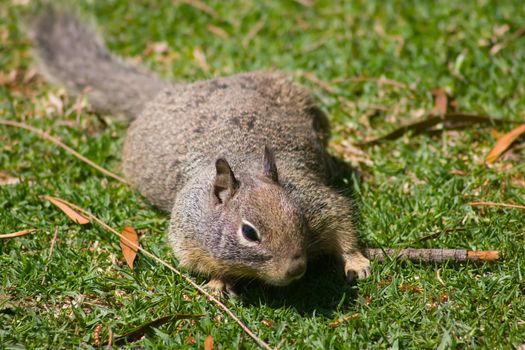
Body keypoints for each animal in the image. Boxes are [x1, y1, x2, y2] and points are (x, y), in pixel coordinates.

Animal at [29, 7, 368, 292]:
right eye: (249, 233)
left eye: (298, 216)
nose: (295, 270)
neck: (245, 165)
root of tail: (172, 91)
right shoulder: (189, 237)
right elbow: (201, 263)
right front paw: (218, 284)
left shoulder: (316, 199)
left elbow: (343, 225)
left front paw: (357, 261)